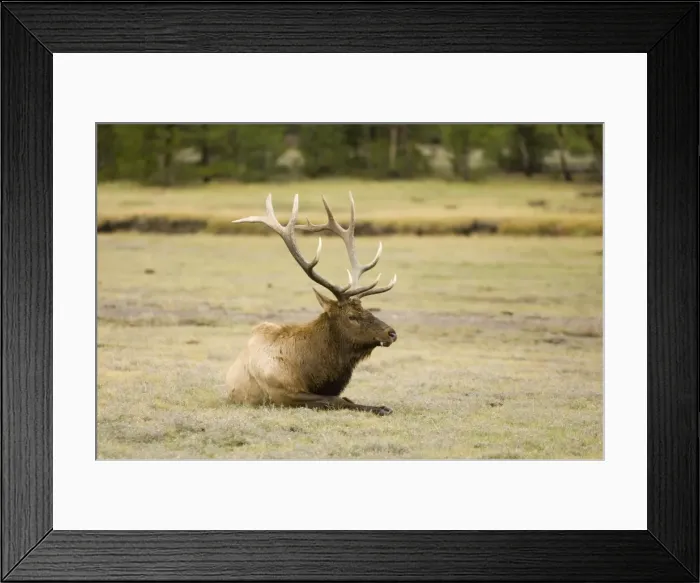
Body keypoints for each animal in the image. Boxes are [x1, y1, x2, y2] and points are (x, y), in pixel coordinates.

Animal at [225, 192, 398, 416]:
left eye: (366, 309)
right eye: (351, 316)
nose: (391, 333)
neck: (312, 370)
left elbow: (345, 397)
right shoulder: (281, 394)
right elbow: (336, 400)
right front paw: (380, 408)